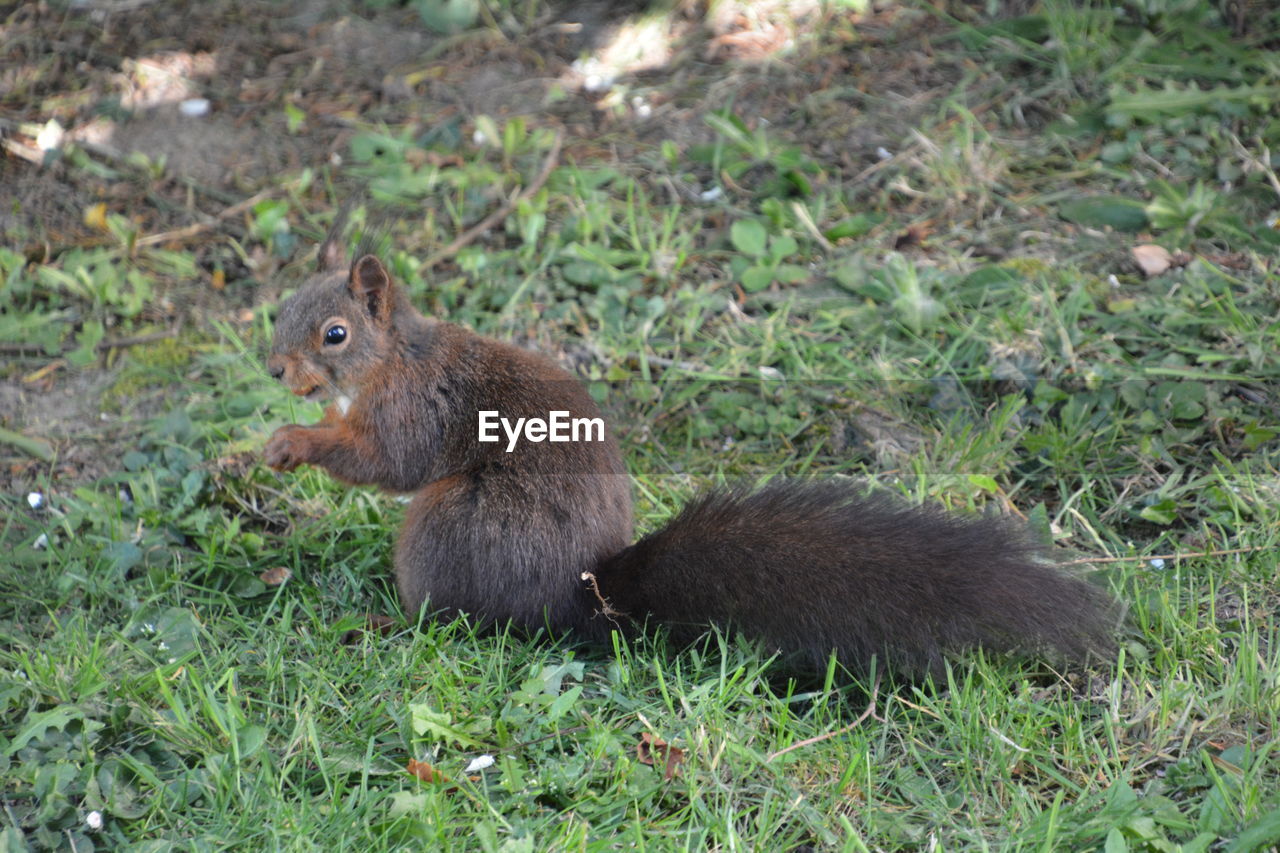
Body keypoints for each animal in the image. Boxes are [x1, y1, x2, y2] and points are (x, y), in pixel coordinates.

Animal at [264, 236, 1116, 671]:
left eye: (334, 333)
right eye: (281, 308)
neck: (391, 359)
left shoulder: (417, 408)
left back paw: (388, 620)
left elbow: (390, 464)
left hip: (449, 526)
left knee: (454, 615)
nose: (275, 370)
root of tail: (585, 597)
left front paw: (293, 441)